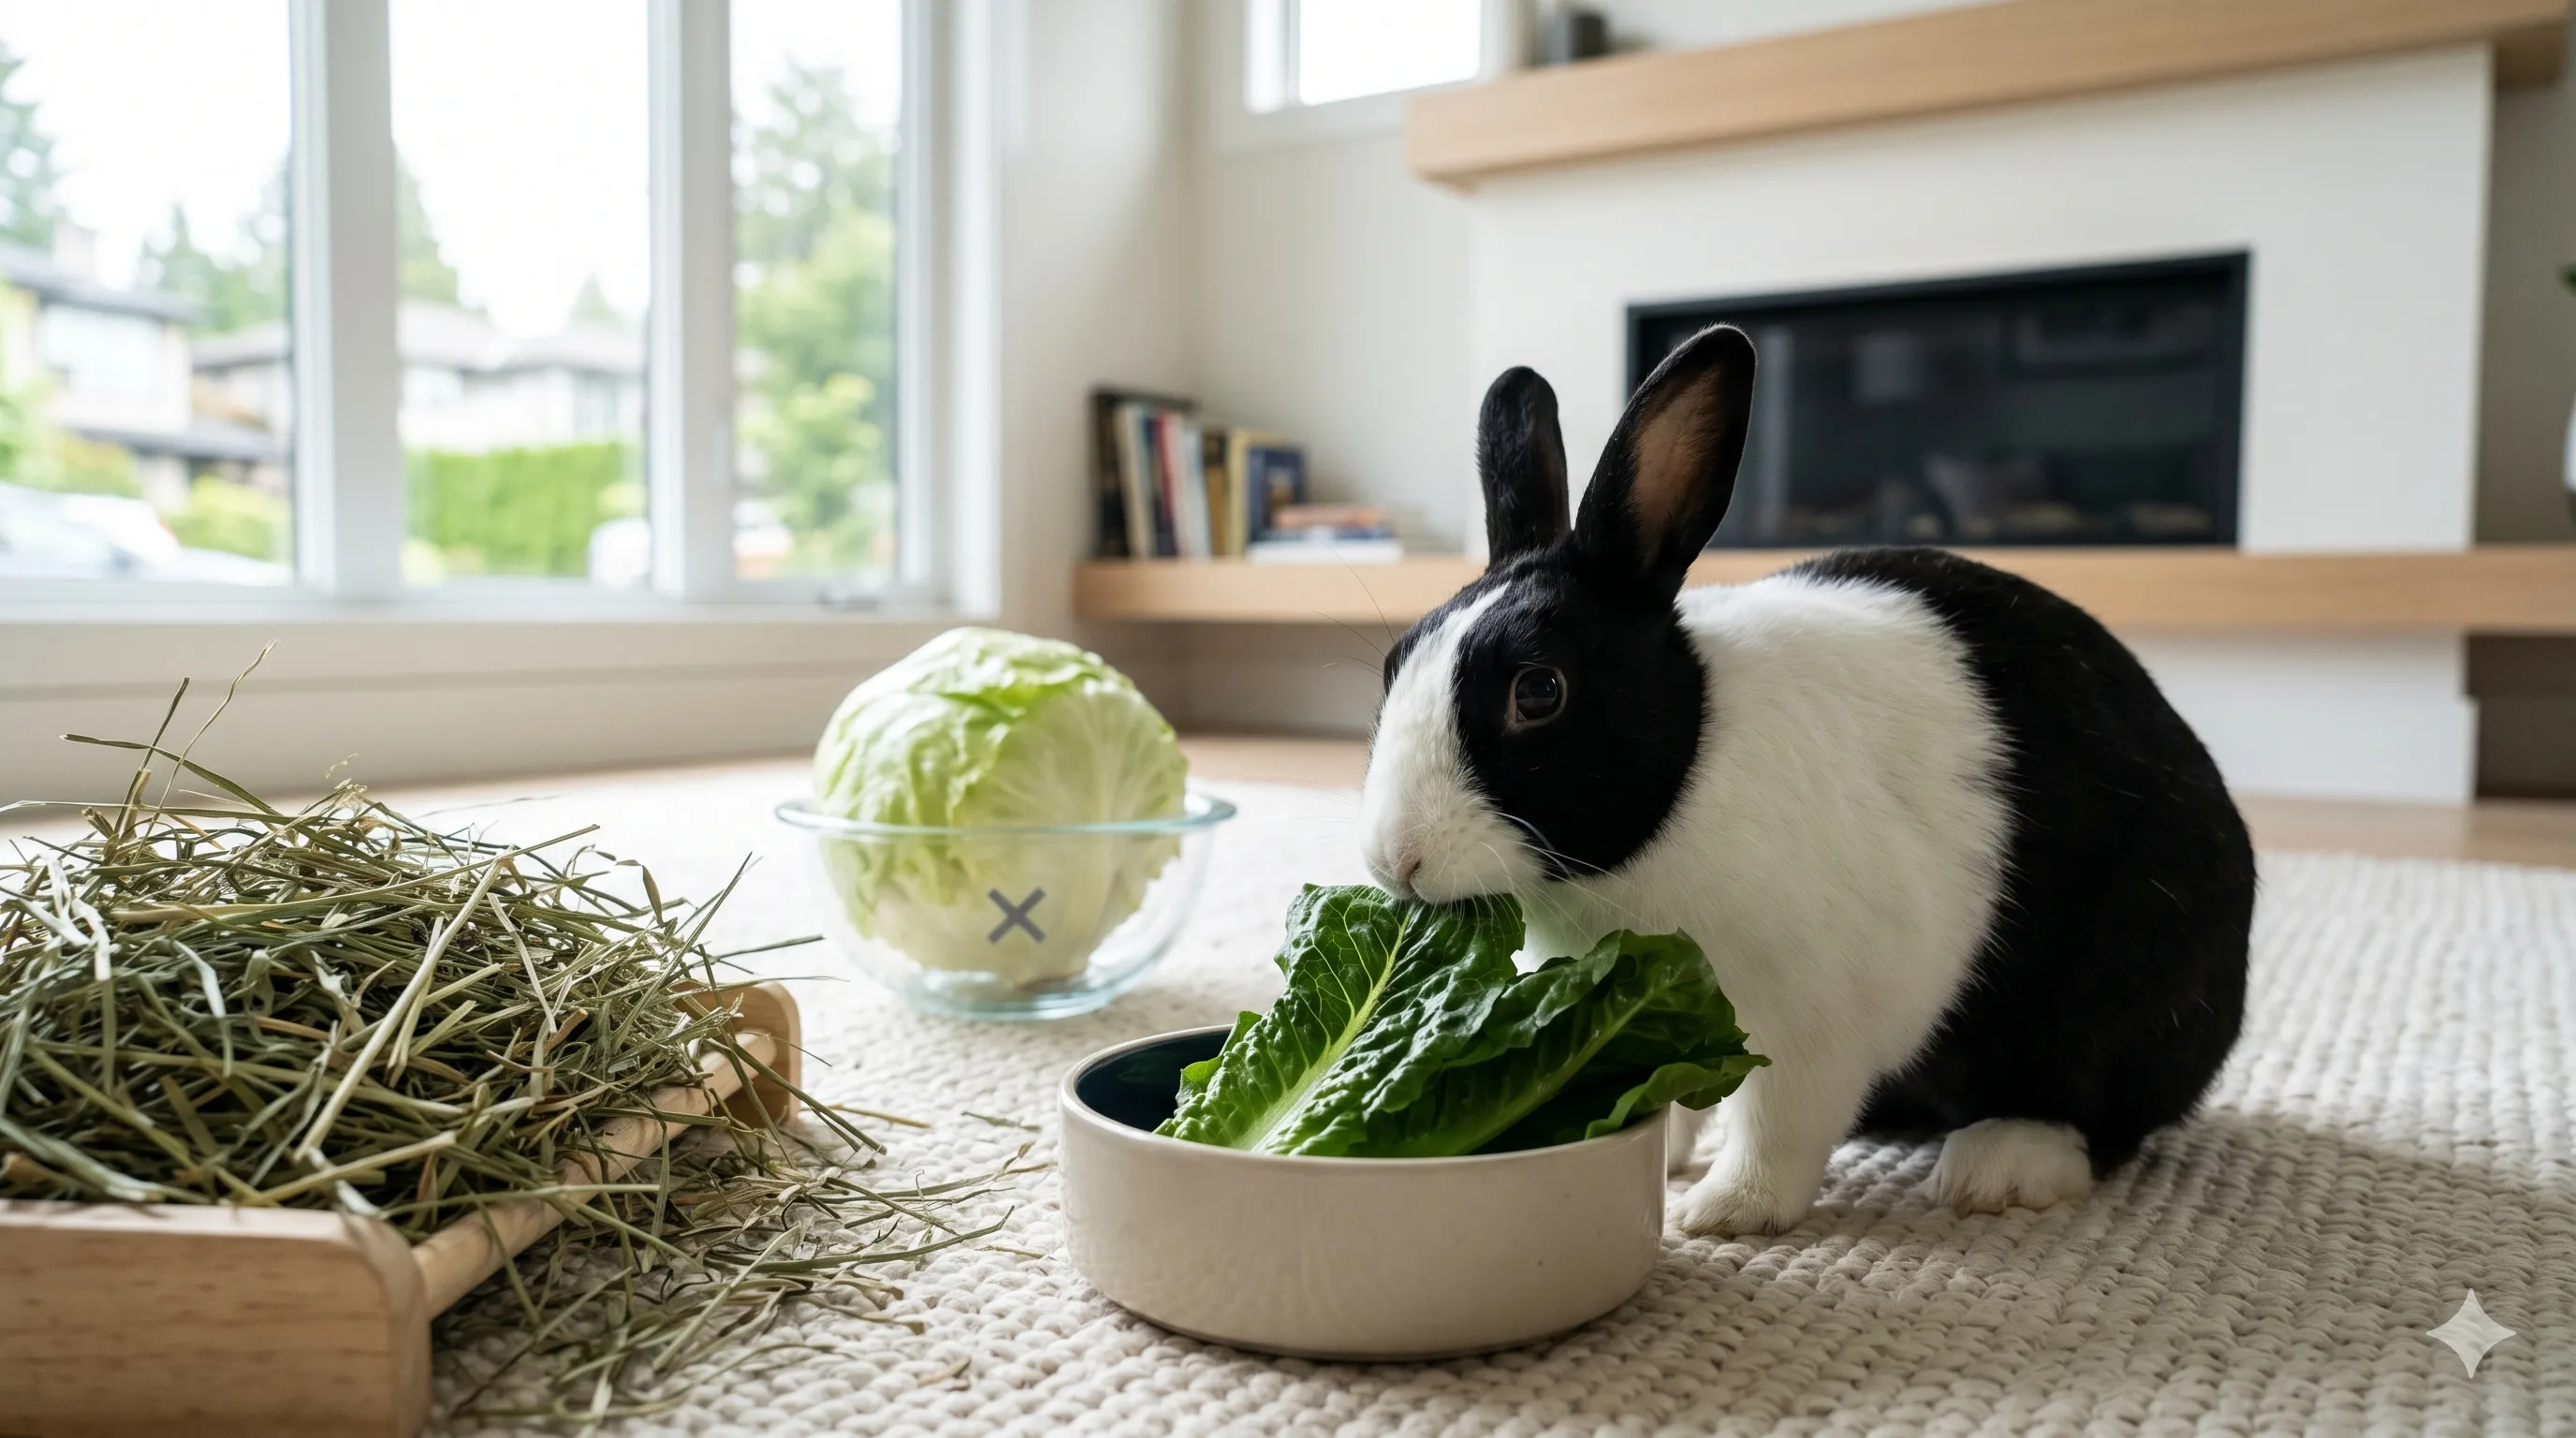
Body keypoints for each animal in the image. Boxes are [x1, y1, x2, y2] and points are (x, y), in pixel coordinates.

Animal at [1358, 323, 2252, 1235]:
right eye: (1394, 666)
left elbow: (1779, 1123)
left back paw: (1998, 1168)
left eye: (1538, 692)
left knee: (2101, 1113)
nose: (1396, 859)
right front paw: (1668, 1157)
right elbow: (1675, 1092)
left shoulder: (1808, 1020)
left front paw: (1723, 1212)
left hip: (2119, 997)